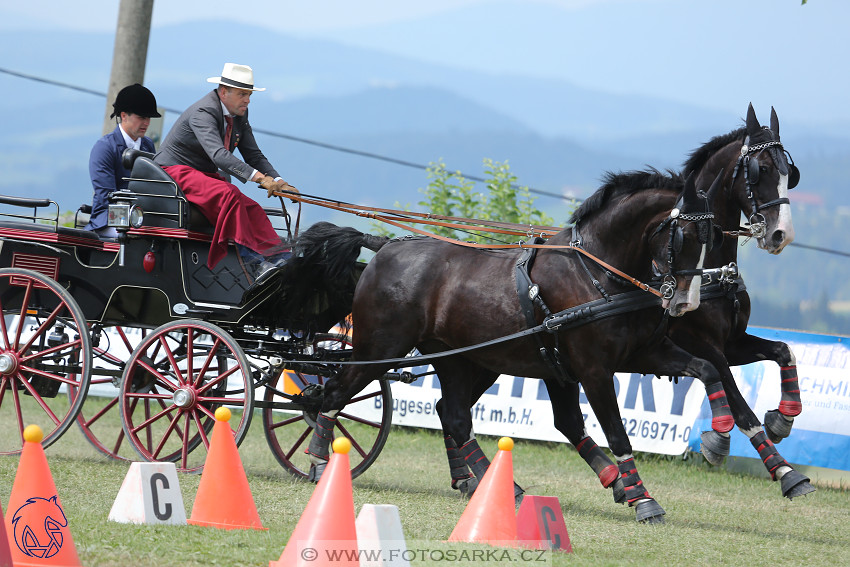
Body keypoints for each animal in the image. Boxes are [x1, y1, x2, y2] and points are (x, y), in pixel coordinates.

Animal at [304, 172, 736, 524]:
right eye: (685, 237)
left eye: (713, 237)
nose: (686, 303)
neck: (595, 273)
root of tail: (383, 247)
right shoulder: (594, 370)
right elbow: (616, 434)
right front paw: (643, 499)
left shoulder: (634, 354)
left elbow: (707, 369)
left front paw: (717, 440)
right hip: (381, 348)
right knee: (334, 394)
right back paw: (319, 462)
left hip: (459, 360)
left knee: (453, 413)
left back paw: (485, 483)